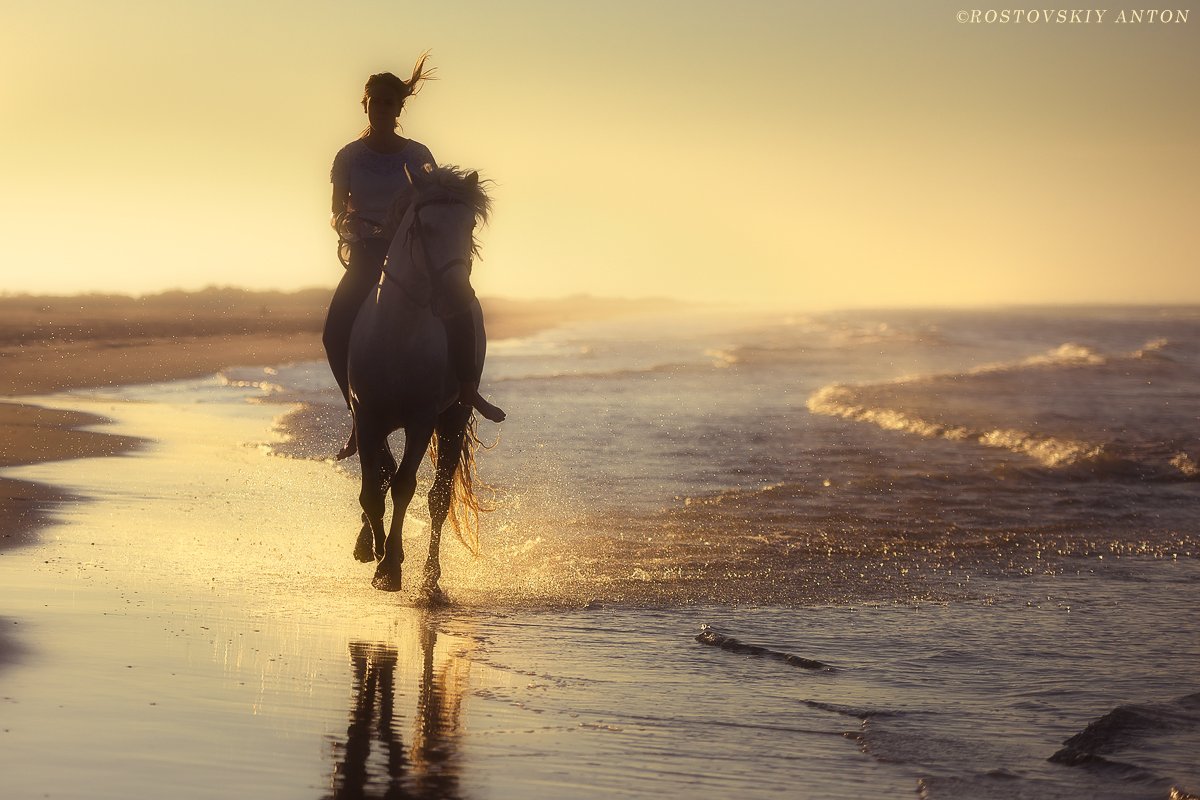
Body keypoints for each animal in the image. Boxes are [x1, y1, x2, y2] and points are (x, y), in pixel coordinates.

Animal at [348, 164, 492, 599]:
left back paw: (430, 578)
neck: (399, 335)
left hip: (454, 417)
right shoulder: (366, 417)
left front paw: (390, 567)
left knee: (438, 498)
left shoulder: (421, 420)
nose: (458, 297)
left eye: (469, 226)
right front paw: (377, 551)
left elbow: (403, 487)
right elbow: (373, 490)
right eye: (425, 227)